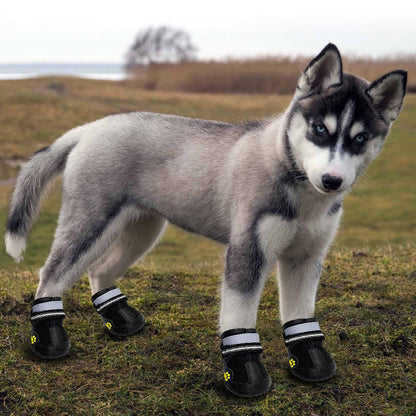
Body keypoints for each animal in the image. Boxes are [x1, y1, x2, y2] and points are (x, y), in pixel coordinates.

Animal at [4, 44, 406, 398]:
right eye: (320, 130)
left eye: (360, 138)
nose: (332, 181)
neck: (296, 182)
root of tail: (89, 128)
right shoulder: (247, 252)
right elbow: (238, 316)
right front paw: (244, 375)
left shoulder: (306, 257)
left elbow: (300, 316)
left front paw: (309, 362)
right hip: (91, 222)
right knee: (50, 273)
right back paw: (48, 338)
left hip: (144, 230)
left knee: (99, 269)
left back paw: (119, 319)